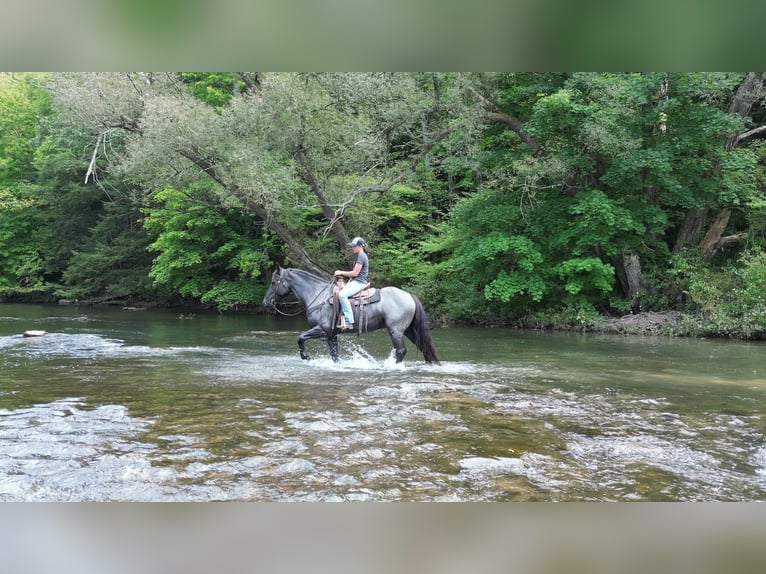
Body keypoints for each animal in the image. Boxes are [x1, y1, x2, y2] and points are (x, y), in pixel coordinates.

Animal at [264, 268, 440, 366]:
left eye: (273, 282)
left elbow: (300, 338)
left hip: (395, 331)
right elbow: (334, 355)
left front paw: (306, 357)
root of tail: (409, 296)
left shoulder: (322, 329)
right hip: (409, 331)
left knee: (401, 351)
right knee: (423, 347)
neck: (317, 295)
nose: (265, 302)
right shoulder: (331, 334)